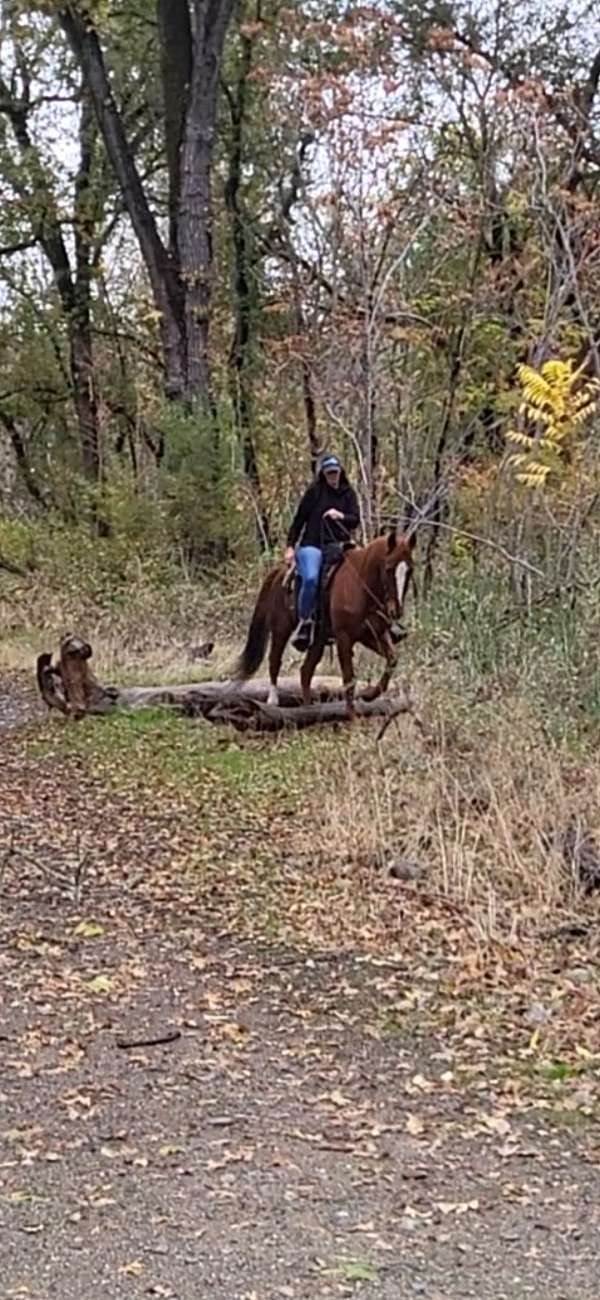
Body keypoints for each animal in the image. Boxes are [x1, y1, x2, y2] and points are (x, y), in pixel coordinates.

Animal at [233, 525, 418, 717]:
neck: (361, 585)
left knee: (305, 671)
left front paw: (369, 694)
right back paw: (273, 700)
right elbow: (349, 678)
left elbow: (392, 659)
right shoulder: (344, 637)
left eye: (410, 570)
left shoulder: (373, 635)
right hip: (281, 629)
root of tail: (280, 571)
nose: (396, 611)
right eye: (389, 569)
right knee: (275, 660)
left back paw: (308, 710)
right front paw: (353, 717)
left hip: (318, 640)